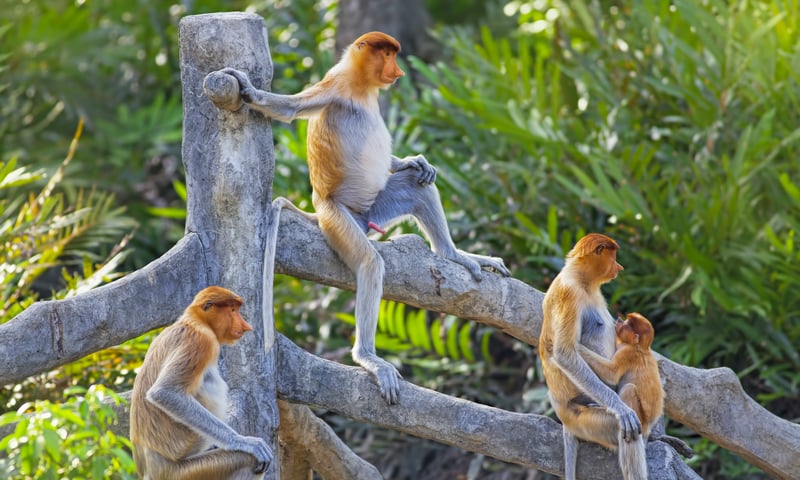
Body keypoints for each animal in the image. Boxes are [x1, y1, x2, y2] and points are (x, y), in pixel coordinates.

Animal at [130, 286, 272, 480]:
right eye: (232, 310)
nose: (246, 326)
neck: (195, 320)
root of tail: (150, 469)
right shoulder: (200, 341)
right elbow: (164, 392)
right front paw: (244, 442)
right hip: (182, 472)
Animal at [221, 31, 509, 404]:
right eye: (386, 54)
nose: (398, 71)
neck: (361, 86)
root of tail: (326, 211)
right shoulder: (335, 84)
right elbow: (290, 109)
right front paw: (248, 90)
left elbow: (411, 172)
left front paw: (414, 161)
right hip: (338, 220)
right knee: (370, 264)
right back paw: (368, 357)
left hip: (376, 208)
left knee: (418, 188)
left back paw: (453, 253)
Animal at [539, 233, 646, 480]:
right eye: (613, 256)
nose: (619, 267)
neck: (581, 279)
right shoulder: (569, 294)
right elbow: (564, 354)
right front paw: (622, 409)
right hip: (584, 418)